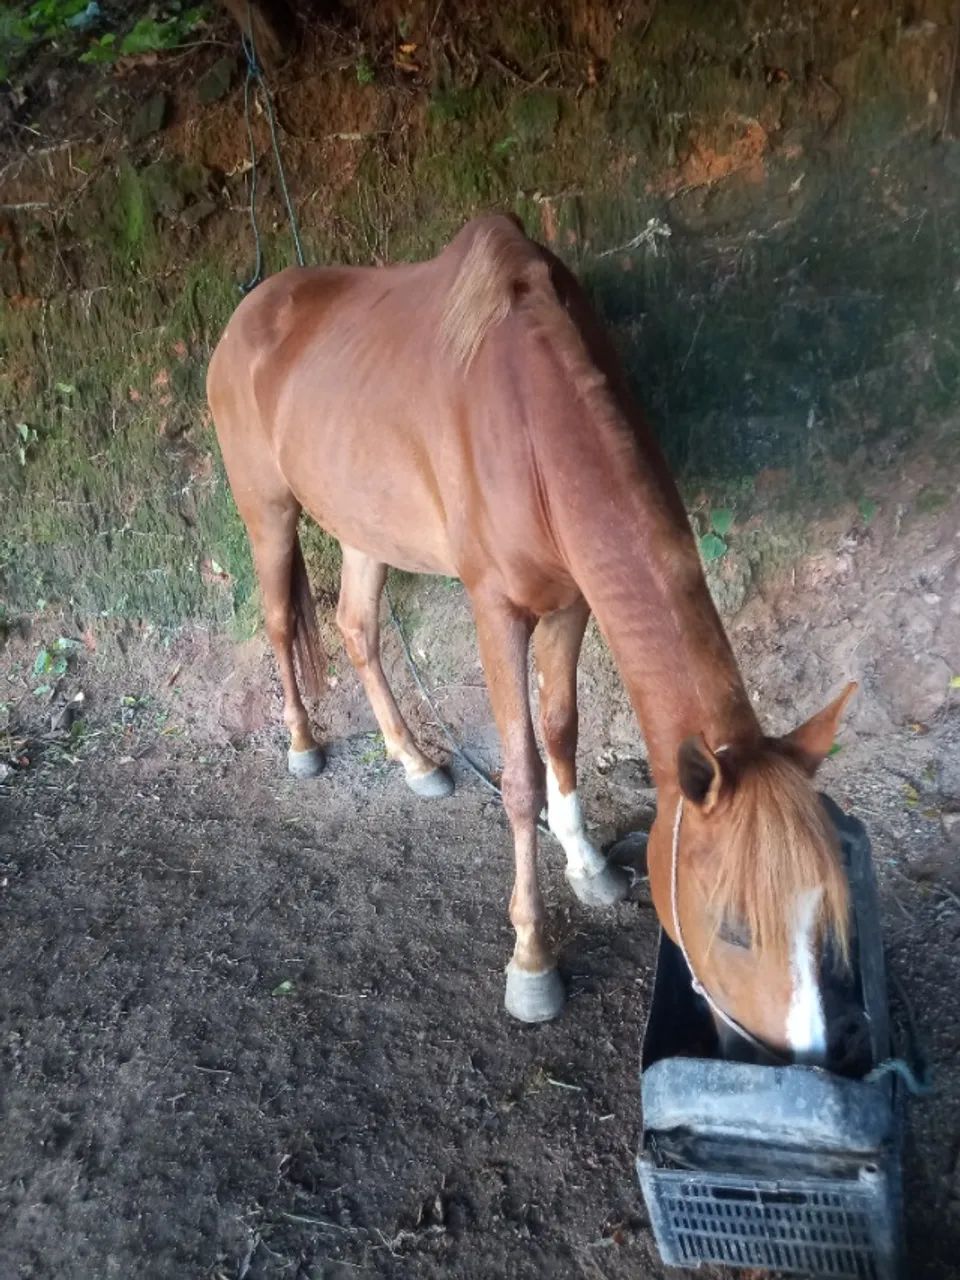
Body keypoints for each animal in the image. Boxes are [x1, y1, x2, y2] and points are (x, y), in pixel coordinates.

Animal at [207, 213, 855, 1061]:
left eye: (823, 920)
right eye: (734, 928)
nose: (794, 1064)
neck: (527, 424)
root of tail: (250, 309)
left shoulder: (572, 603)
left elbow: (562, 732)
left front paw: (588, 865)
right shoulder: (496, 610)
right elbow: (518, 775)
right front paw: (532, 960)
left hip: (364, 528)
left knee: (356, 630)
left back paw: (415, 760)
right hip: (268, 511)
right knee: (283, 623)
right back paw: (304, 745)